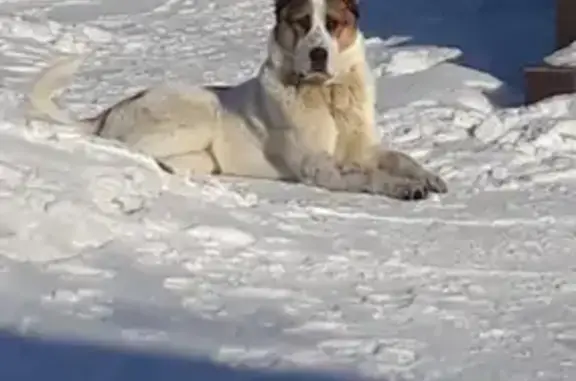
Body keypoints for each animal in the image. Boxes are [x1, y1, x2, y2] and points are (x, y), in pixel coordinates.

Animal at [28, 0, 450, 202]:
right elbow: (367, 175)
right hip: (196, 114)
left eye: (333, 24)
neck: (327, 94)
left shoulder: (363, 149)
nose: (318, 53)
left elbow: (398, 156)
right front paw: (403, 188)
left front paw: (428, 176)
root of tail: (109, 112)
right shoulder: (319, 167)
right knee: (128, 147)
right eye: (301, 23)